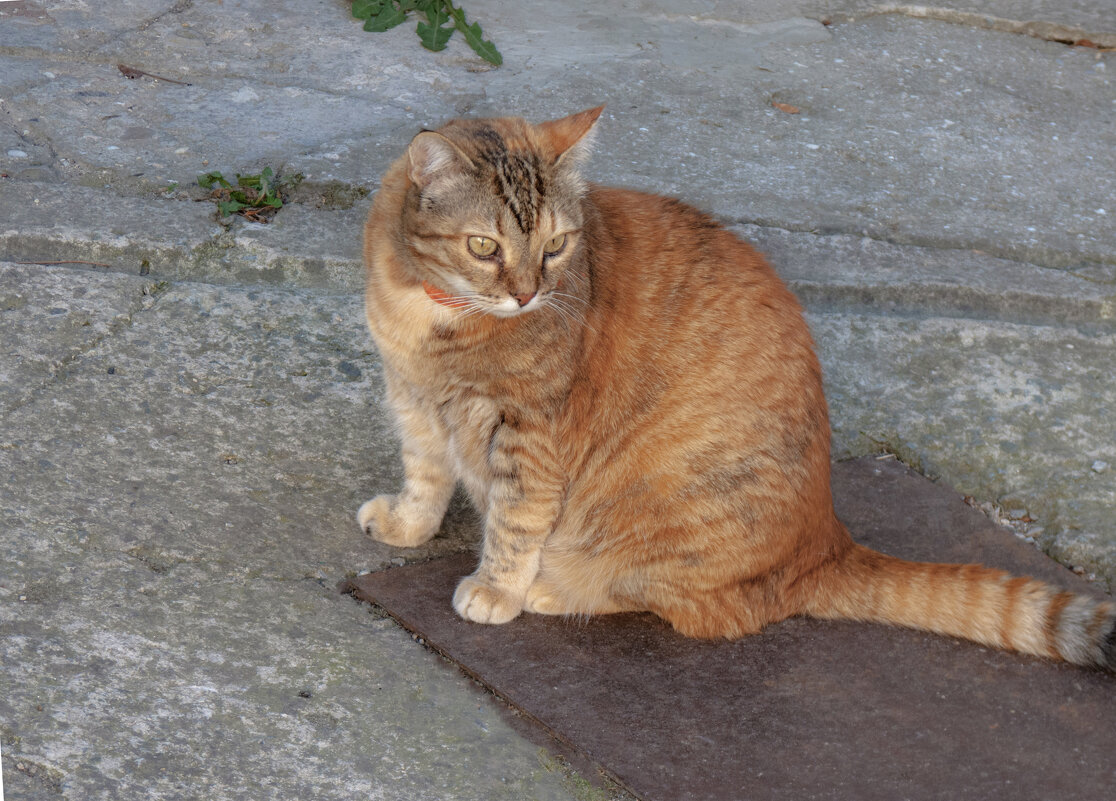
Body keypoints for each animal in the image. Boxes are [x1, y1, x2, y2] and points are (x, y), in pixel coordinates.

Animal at [359, 106, 1116, 669]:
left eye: (556, 246)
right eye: (484, 247)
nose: (527, 294)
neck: (435, 322)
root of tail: (827, 542)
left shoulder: (530, 433)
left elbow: (515, 519)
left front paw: (497, 587)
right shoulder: (412, 401)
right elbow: (425, 475)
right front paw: (409, 524)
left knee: (702, 609)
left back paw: (552, 588)